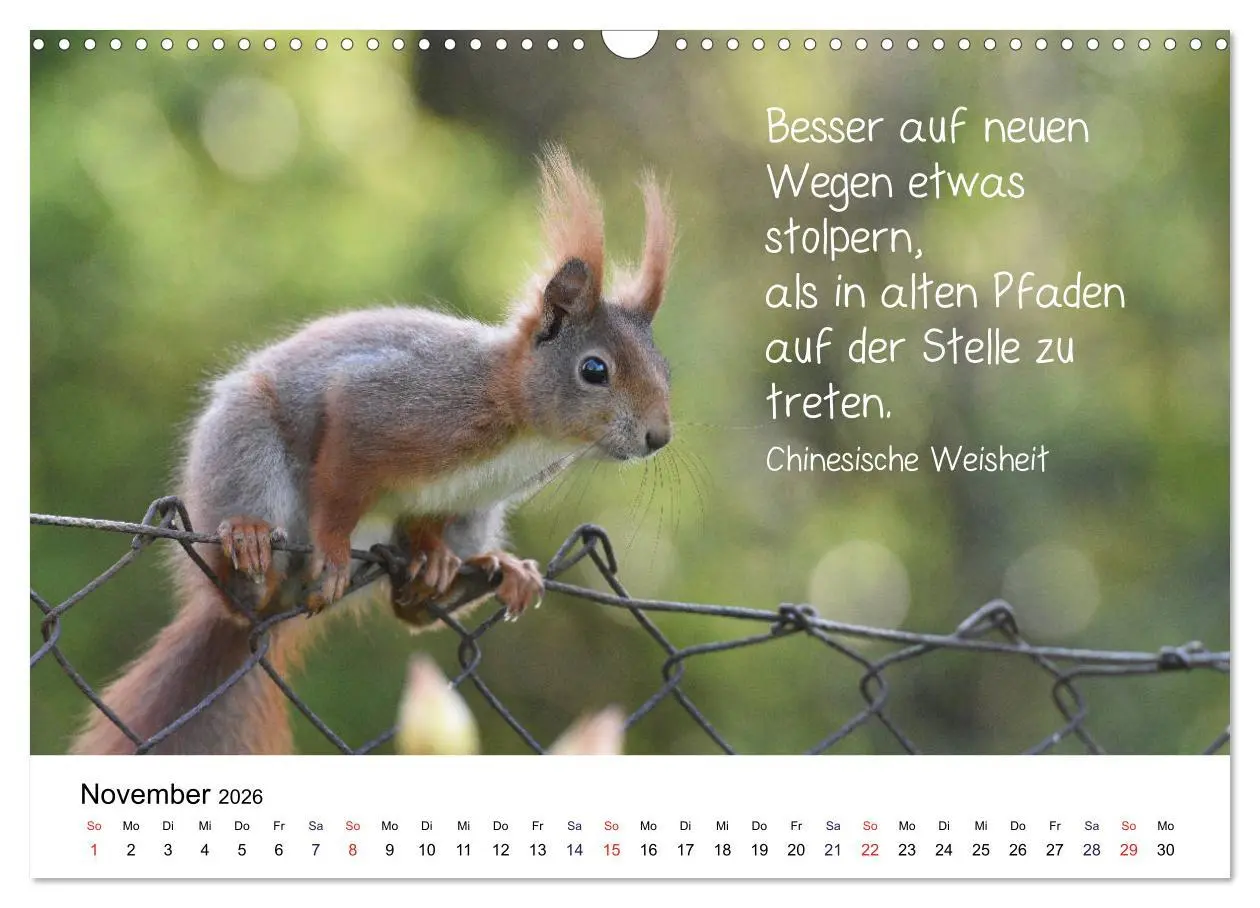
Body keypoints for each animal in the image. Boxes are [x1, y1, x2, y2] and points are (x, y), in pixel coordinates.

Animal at [71, 147, 676, 755]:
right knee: (242, 591)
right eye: (594, 370)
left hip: (477, 516)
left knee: (407, 611)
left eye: (664, 370)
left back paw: (476, 576)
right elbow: (342, 479)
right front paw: (336, 550)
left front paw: (433, 557)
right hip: (245, 453)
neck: (524, 427)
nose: (659, 437)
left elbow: (427, 524)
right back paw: (249, 552)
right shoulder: (386, 408)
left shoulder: (460, 494)